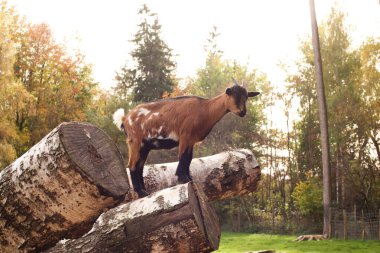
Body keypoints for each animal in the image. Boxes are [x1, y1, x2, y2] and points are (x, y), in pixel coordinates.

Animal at [113, 82, 260, 197]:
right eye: (234, 96)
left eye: (246, 97)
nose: (242, 112)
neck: (205, 109)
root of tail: (125, 119)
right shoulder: (185, 136)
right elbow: (183, 156)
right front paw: (182, 178)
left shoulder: (191, 140)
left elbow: (188, 158)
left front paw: (189, 178)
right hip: (135, 142)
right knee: (132, 165)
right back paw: (142, 192)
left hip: (144, 146)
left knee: (139, 166)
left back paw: (144, 191)